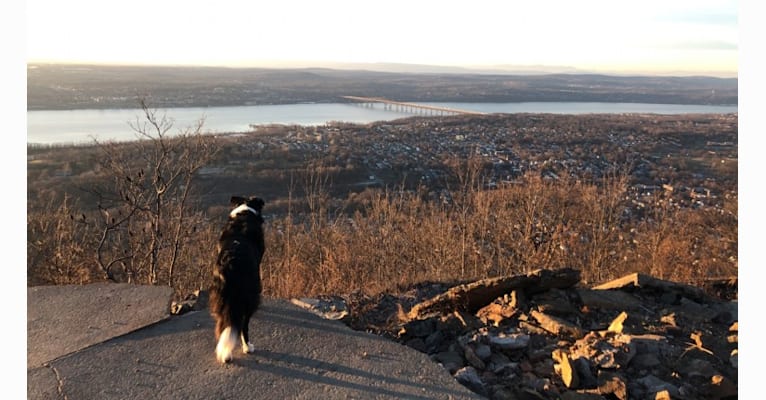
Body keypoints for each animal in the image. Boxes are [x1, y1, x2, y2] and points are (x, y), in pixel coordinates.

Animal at [210, 195, 268, 364]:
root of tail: (231, 263)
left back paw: (226, 354)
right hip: (249, 297)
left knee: (224, 324)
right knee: (243, 325)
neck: (245, 211)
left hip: (220, 297)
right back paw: (247, 347)